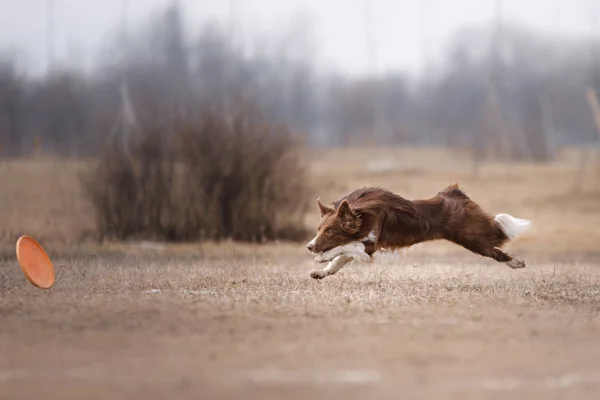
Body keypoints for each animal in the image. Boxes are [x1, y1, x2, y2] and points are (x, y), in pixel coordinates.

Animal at [308, 184, 532, 280]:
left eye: (330, 231)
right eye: (319, 229)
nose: (309, 246)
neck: (360, 214)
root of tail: (456, 193)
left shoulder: (369, 246)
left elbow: (345, 248)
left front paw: (322, 258)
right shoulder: (364, 245)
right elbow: (341, 258)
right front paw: (322, 272)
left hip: (473, 239)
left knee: (496, 251)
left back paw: (516, 263)